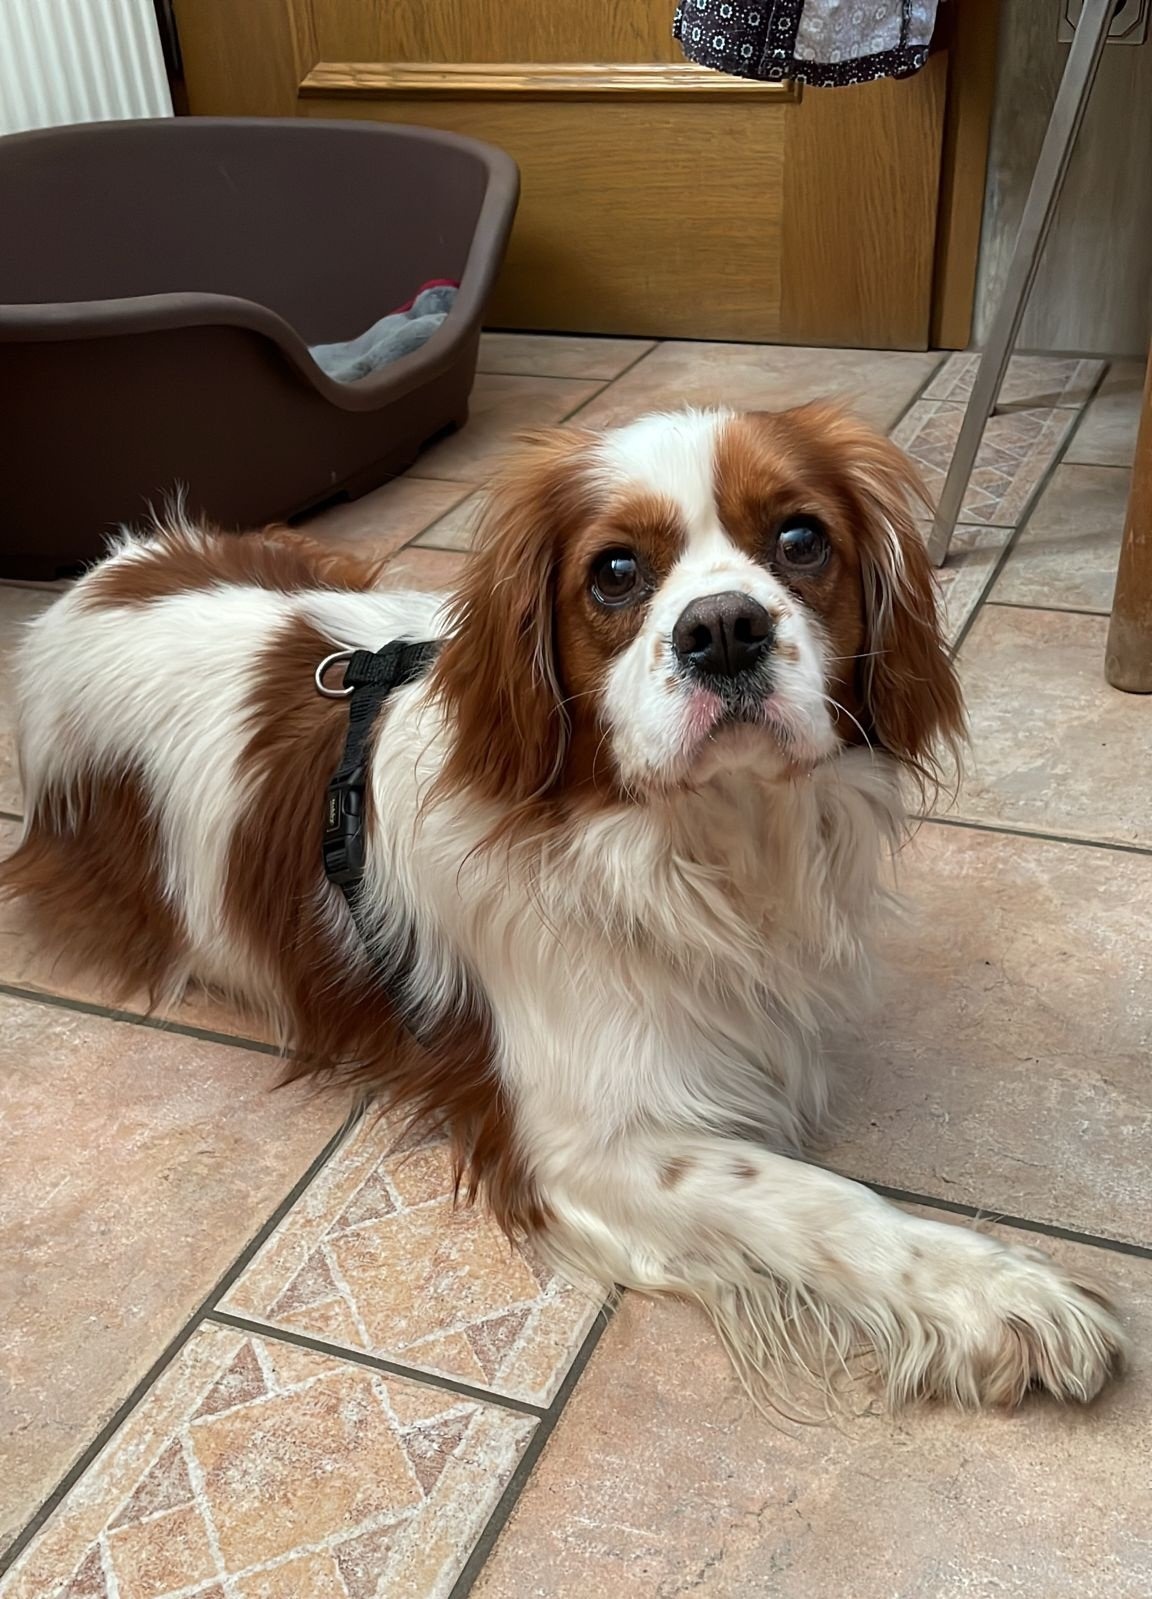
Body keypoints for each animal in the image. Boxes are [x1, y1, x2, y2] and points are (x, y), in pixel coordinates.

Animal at [2, 404, 1123, 1410]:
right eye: (615, 571)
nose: (724, 630)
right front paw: (996, 1292)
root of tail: (86, 587)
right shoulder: (585, 1144)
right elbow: (817, 1200)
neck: (698, 843)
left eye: (803, 539)